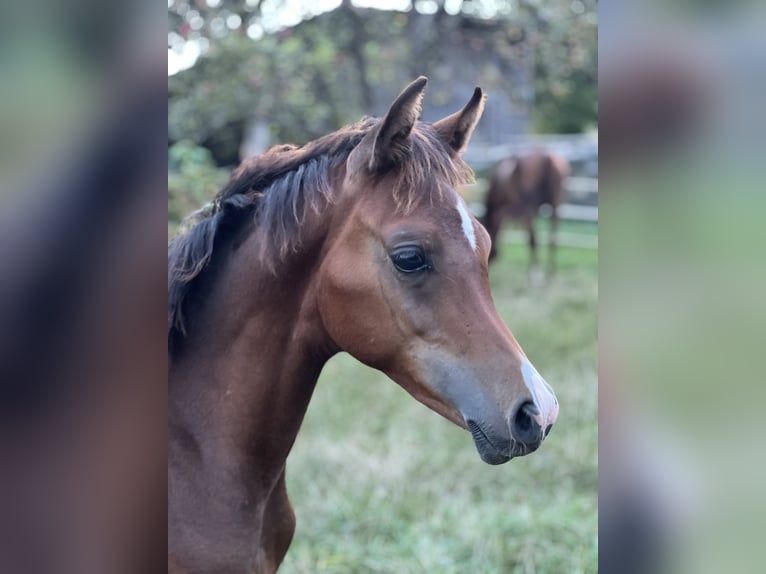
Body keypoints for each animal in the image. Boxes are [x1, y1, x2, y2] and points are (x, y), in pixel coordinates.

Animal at [486, 151, 568, 280]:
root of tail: (549, 159)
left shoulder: (513, 210)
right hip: (555, 204)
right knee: (553, 236)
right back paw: (551, 273)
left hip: (527, 209)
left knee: (532, 239)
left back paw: (535, 274)